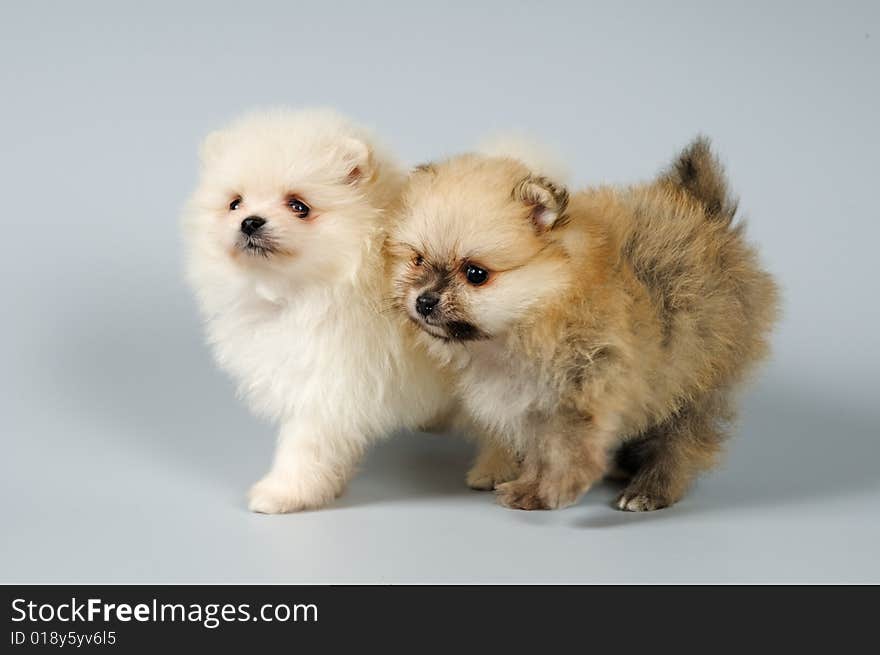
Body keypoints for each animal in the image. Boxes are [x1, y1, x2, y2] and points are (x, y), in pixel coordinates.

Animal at [181, 110, 450, 516]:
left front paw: (282, 493)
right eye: (235, 203)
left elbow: (307, 444)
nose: (250, 221)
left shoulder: (331, 377)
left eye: (299, 206)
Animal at [390, 140, 776, 512]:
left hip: (698, 373)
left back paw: (651, 489)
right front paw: (529, 486)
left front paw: (556, 489)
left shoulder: (590, 381)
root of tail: (707, 215)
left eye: (475, 273)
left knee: (680, 438)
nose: (424, 301)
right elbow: (539, 449)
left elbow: (571, 447)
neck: (543, 305)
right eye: (418, 259)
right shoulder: (533, 403)